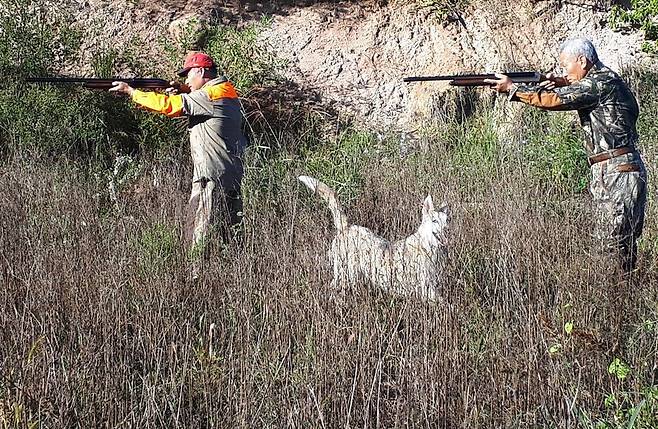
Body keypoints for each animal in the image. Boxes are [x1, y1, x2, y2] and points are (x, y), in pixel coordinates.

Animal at [298, 174, 446, 300]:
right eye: (434, 221)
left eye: (446, 221)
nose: (445, 230)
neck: (426, 245)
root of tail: (346, 227)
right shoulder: (425, 289)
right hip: (344, 275)